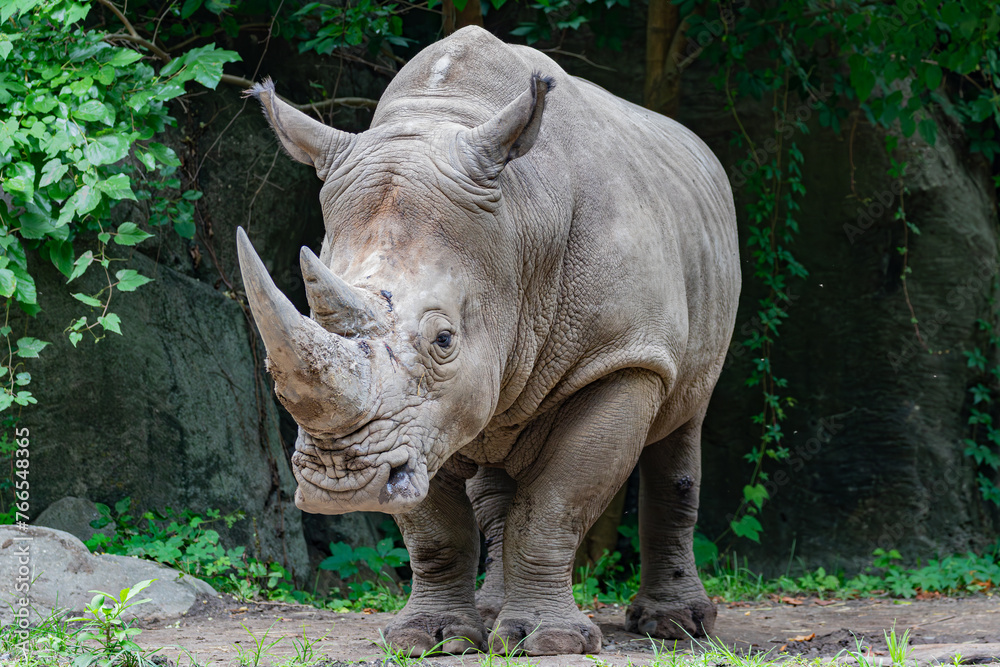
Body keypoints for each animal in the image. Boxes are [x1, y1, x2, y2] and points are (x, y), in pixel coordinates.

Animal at [237, 26, 739, 656]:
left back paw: (676, 628)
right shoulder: (418, 422)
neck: (519, 226)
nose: (340, 483)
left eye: (444, 340)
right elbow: (436, 528)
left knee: (683, 423)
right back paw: (496, 614)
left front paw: (554, 643)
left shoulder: (623, 358)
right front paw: (429, 639)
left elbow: (555, 503)